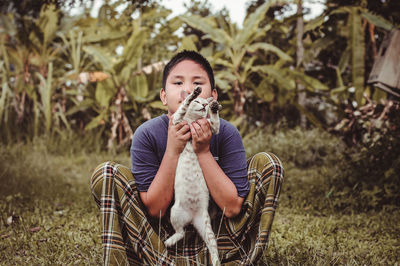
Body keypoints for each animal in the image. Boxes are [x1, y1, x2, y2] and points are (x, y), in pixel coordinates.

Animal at [166, 87, 222, 266]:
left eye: (205, 103)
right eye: (198, 102)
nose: (205, 105)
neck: (192, 122)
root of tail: (191, 217)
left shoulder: (212, 128)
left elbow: (215, 123)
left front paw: (214, 107)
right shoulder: (177, 121)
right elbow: (183, 105)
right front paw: (193, 94)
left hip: (206, 227)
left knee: (212, 247)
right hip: (175, 212)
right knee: (181, 232)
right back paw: (169, 241)